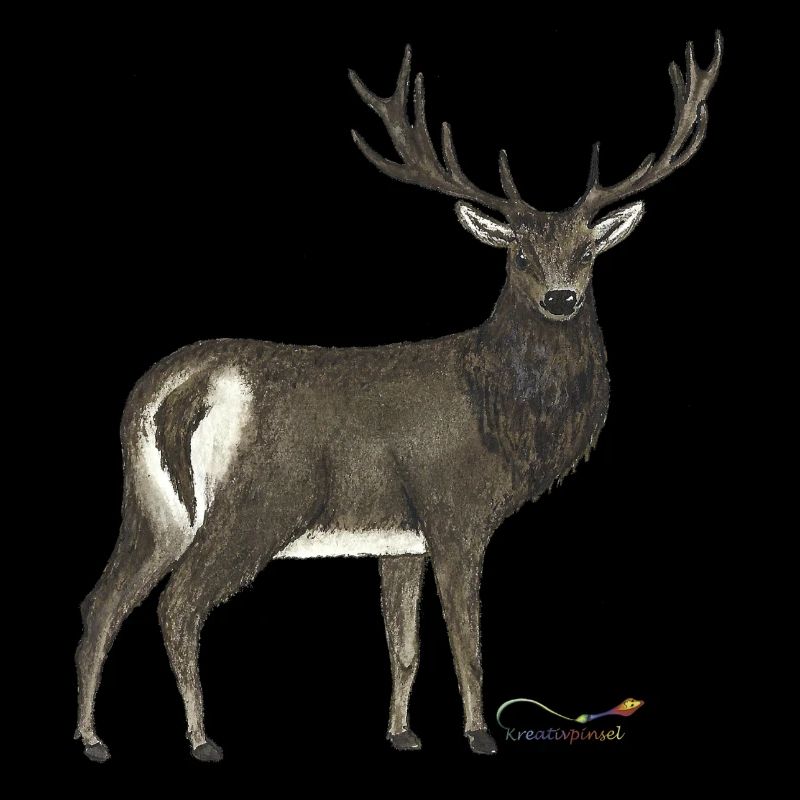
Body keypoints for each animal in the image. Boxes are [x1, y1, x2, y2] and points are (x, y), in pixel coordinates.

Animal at [75, 34, 722, 762]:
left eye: (588, 252)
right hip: (257, 504)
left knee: (101, 602)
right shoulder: (454, 511)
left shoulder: (399, 539)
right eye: (520, 256)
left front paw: (402, 734)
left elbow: (403, 646)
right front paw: (477, 734)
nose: (561, 298)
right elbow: (466, 641)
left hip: (152, 507)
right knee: (179, 604)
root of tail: (179, 386)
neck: (498, 414)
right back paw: (200, 739)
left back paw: (93, 739)